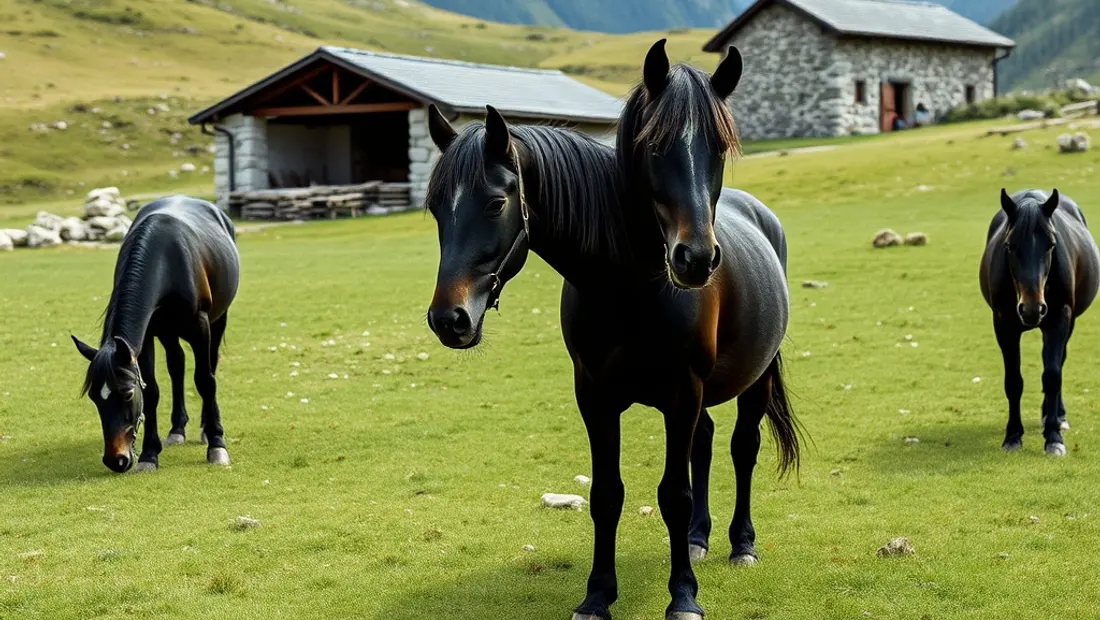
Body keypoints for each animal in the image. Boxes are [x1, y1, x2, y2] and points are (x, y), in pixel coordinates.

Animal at [72, 196, 240, 473]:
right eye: (95, 397)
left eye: (127, 394)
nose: (116, 460)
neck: (166, 261)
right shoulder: (147, 335)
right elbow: (152, 390)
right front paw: (150, 454)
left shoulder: (200, 324)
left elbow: (205, 380)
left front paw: (217, 444)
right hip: (168, 331)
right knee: (177, 365)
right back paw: (177, 429)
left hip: (218, 320)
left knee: (209, 365)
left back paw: (206, 429)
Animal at [423, 44, 800, 620]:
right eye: (435, 207)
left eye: (495, 202)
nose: (450, 318)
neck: (629, 285)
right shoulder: (595, 395)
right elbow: (607, 494)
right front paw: (597, 594)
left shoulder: (682, 393)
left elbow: (673, 495)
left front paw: (683, 595)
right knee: (706, 446)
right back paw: (698, 539)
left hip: (751, 382)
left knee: (742, 448)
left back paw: (741, 544)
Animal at [980, 188, 1098, 456]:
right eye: (1009, 245)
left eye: (1051, 244)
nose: (1032, 308)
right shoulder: (1003, 325)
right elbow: (1013, 381)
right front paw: (1013, 436)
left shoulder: (1059, 319)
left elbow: (1053, 375)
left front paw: (1053, 437)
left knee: (1058, 361)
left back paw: (1057, 417)